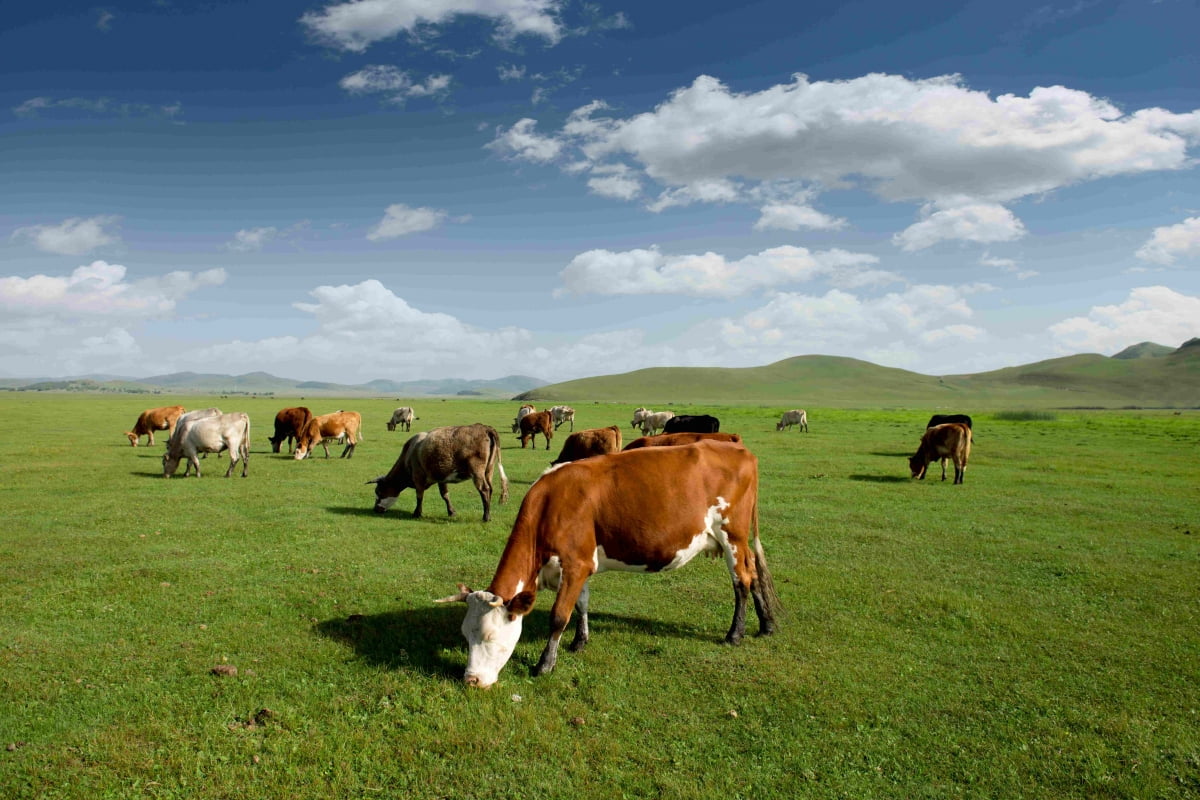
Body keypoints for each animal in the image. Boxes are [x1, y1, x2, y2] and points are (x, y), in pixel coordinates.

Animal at [367, 424, 509, 522]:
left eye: (378, 492)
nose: (375, 509)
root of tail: (485, 428)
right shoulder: (442, 478)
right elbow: (445, 495)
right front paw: (451, 512)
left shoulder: (418, 476)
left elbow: (419, 495)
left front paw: (417, 513)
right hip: (489, 470)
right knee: (490, 489)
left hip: (477, 471)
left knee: (484, 490)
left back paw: (486, 517)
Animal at [436, 440, 781, 688]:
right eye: (465, 635)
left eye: (490, 637)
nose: (471, 680)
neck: (551, 503)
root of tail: (739, 449)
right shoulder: (582, 564)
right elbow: (582, 604)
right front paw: (580, 642)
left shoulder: (575, 564)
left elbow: (559, 616)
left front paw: (545, 664)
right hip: (738, 540)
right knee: (753, 571)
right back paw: (765, 625)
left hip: (732, 534)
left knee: (741, 581)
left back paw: (734, 634)